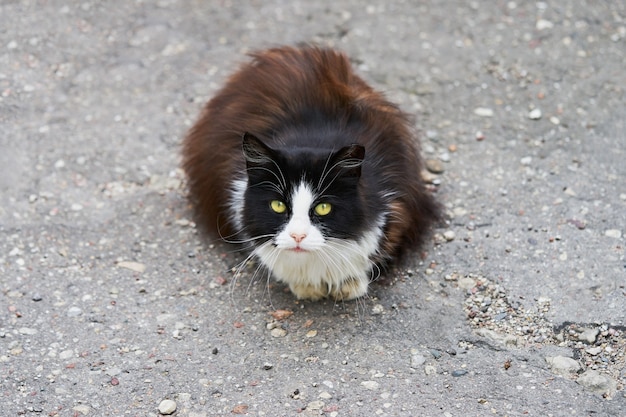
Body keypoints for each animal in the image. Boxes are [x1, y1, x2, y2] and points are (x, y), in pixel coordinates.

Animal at [182, 44, 438, 300]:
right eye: (278, 205)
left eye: (323, 208)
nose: (298, 236)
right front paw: (306, 286)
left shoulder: (399, 201)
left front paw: (350, 283)